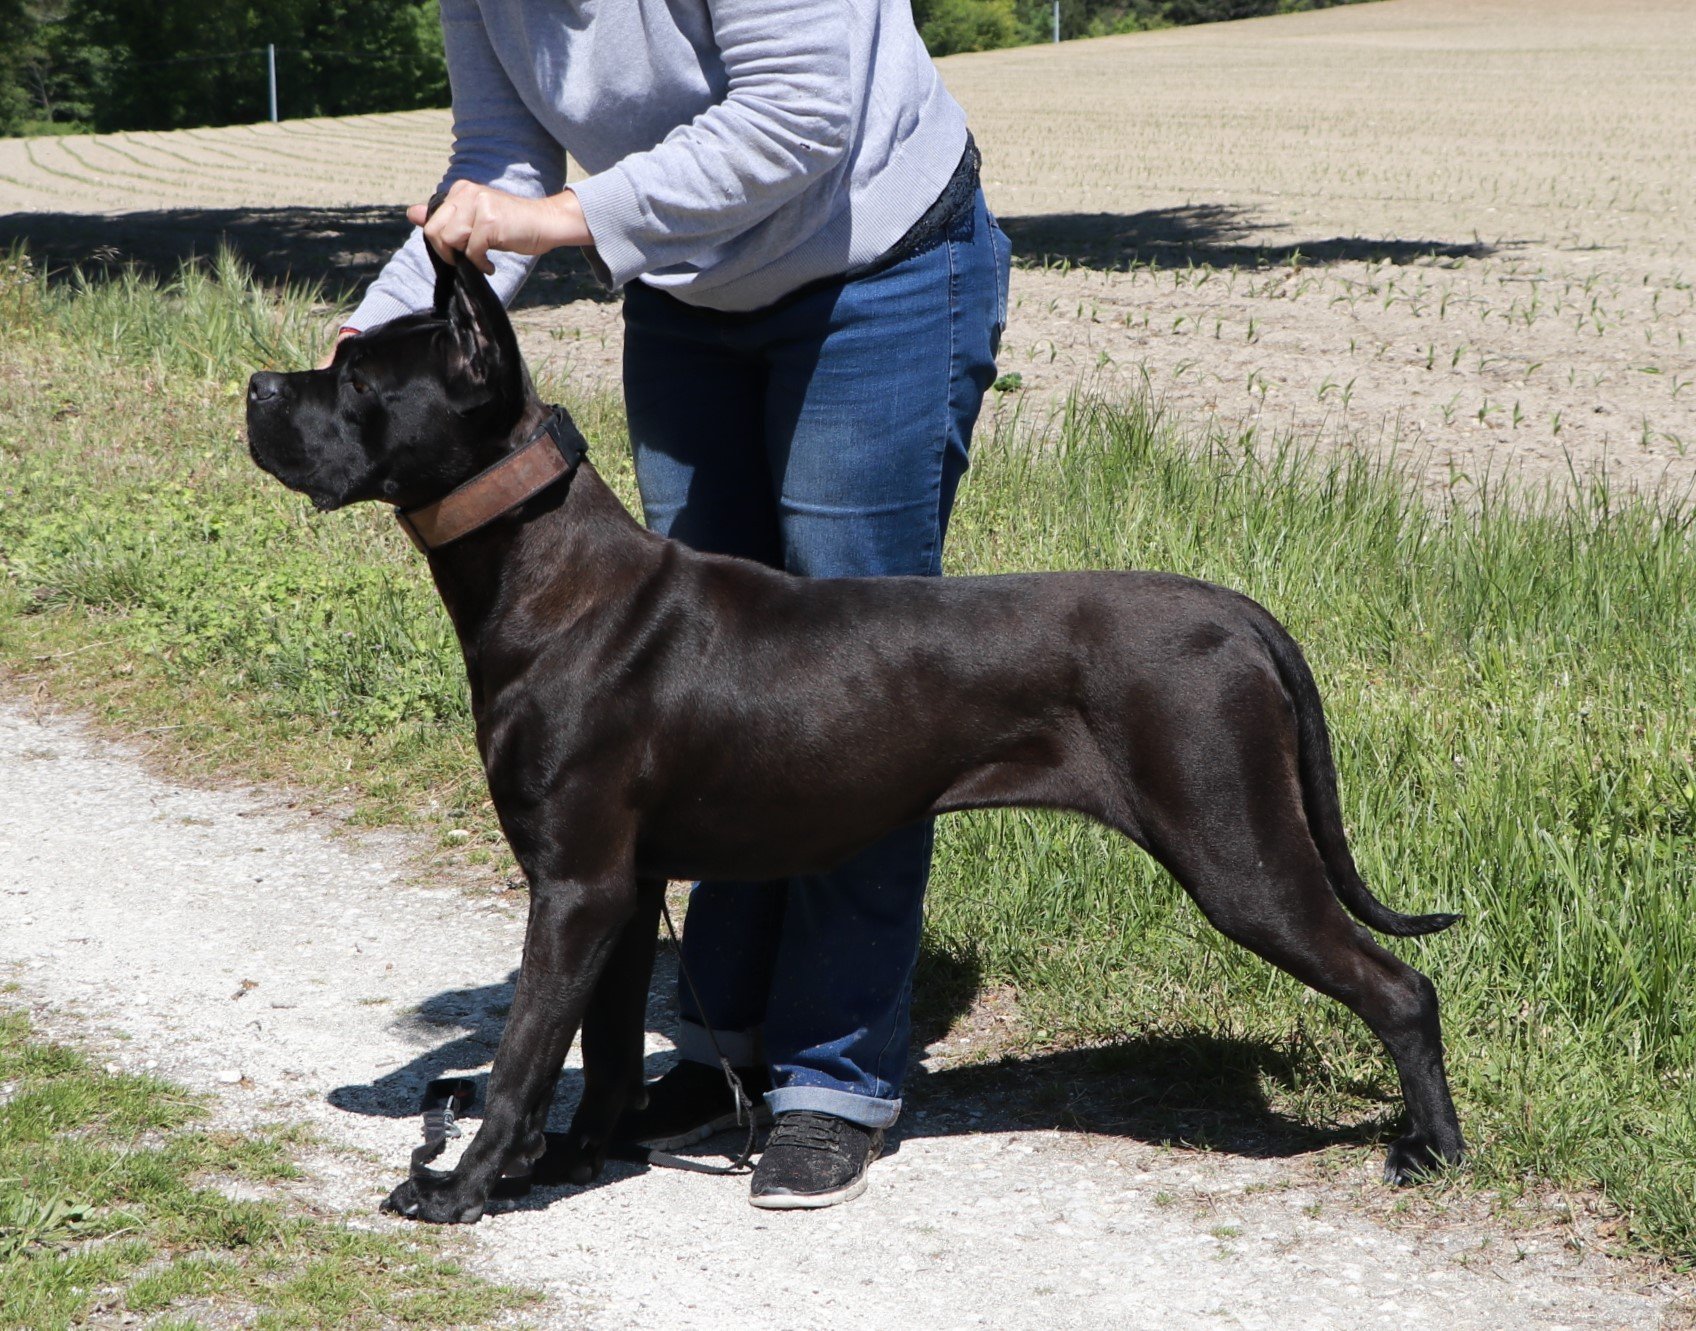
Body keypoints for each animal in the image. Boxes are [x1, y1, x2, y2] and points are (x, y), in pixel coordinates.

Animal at [245, 249, 1465, 1227]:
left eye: (358, 379)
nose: (256, 385)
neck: (541, 571)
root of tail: (1240, 613)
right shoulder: (624, 890)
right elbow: (598, 1047)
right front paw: (570, 1160)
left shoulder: (574, 884)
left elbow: (518, 1059)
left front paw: (462, 1185)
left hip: (1236, 848)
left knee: (1401, 985)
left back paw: (1434, 1148)